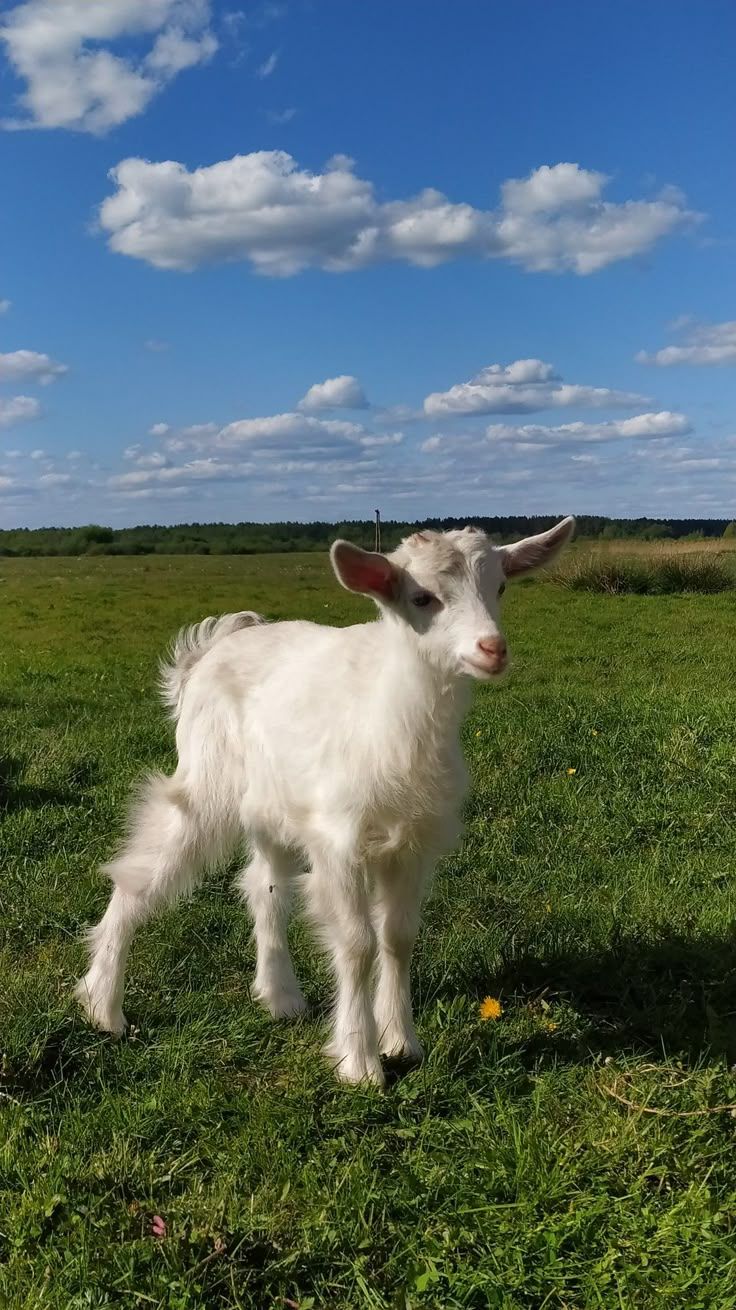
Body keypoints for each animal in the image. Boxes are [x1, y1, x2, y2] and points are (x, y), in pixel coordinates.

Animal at [75, 516, 575, 1085]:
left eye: (501, 587)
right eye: (422, 597)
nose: (492, 649)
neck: (392, 718)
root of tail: (215, 645)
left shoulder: (413, 840)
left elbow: (398, 936)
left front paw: (402, 1043)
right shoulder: (339, 837)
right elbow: (356, 943)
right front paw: (360, 1063)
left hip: (272, 804)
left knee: (263, 885)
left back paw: (281, 998)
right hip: (206, 779)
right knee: (139, 874)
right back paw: (103, 1006)